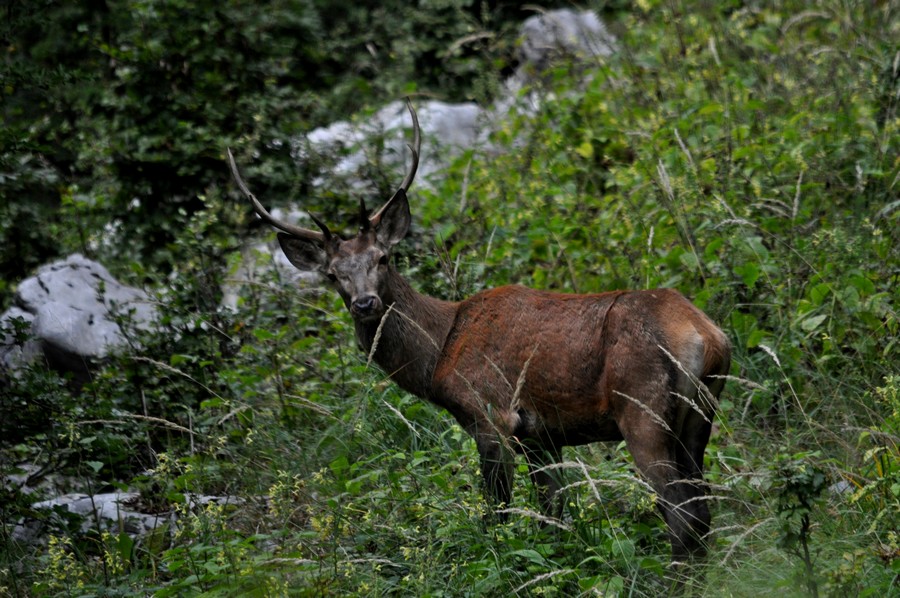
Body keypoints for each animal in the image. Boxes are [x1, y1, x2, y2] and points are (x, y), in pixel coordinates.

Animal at [225, 99, 732, 568]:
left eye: (383, 259)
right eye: (332, 275)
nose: (364, 303)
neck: (440, 351)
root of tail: (704, 334)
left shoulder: (490, 414)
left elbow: (497, 514)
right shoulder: (541, 436)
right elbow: (553, 516)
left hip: (642, 410)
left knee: (682, 513)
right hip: (700, 415)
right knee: (702, 507)